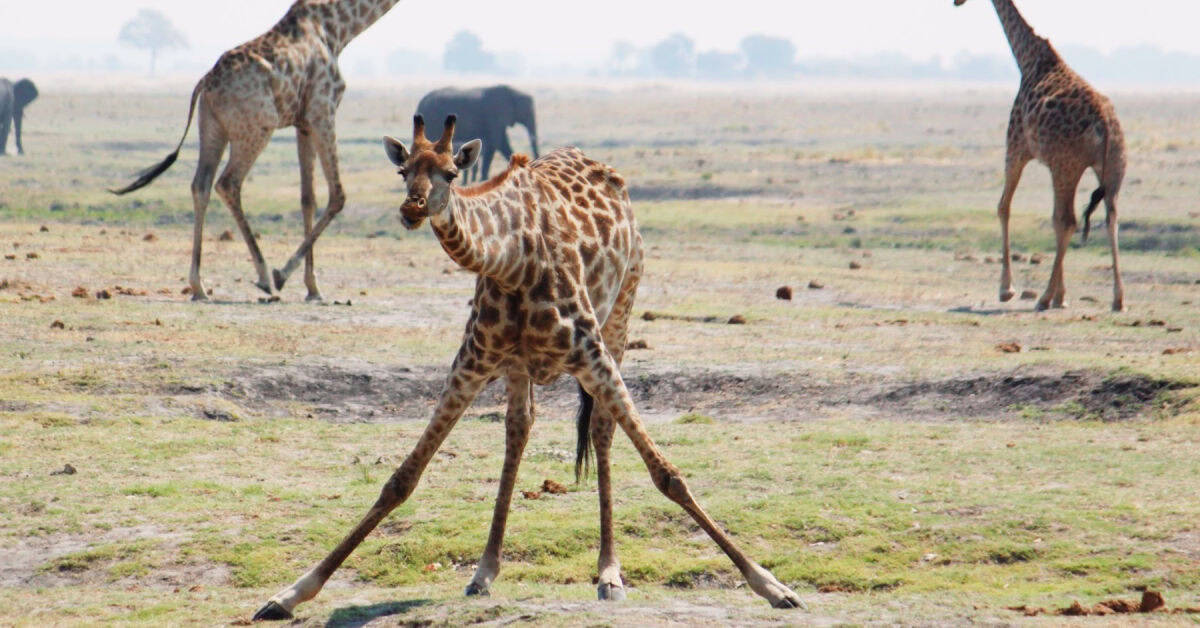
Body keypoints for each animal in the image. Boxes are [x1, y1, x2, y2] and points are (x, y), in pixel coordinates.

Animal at [110, 0, 403, 302]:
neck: (340, 29)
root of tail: (205, 82)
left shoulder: (303, 122)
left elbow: (307, 198)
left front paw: (312, 287)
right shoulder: (323, 110)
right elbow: (337, 196)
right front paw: (284, 274)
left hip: (212, 128)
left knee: (200, 185)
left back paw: (199, 286)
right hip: (257, 130)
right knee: (228, 183)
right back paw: (263, 276)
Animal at [252, 115, 806, 620]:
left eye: (451, 172)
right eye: (403, 170)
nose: (412, 208)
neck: (510, 262)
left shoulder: (591, 353)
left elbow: (667, 474)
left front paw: (773, 586)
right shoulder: (472, 361)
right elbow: (402, 479)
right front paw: (289, 594)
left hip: (622, 314)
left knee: (600, 429)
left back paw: (609, 572)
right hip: (520, 367)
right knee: (519, 428)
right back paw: (484, 571)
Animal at [956, 0, 1126, 312]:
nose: (955, 2)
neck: (1027, 59)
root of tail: (1105, 124)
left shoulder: (1016, 147)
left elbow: (1003, 207)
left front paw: (1007, 289)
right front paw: (1061, 296)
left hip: (1066, 166)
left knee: (1067, 219)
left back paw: (1045, 298)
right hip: (1113, 167)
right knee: (1110, 219)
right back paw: (1117, 299)